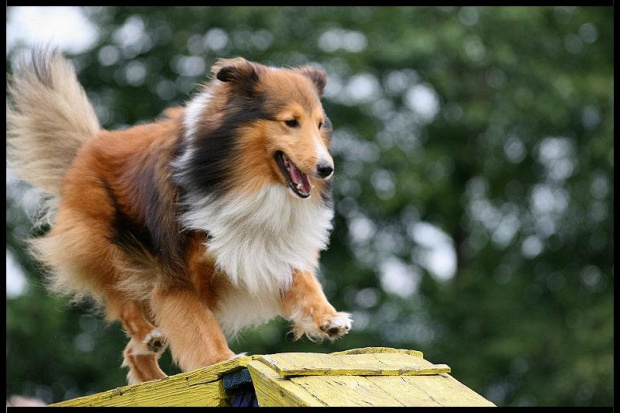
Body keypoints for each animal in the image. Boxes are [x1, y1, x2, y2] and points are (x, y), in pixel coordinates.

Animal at [7, 48, 352, 384]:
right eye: (290, 122)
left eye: (320, 124)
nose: (326, 168)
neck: (242, 181)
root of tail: (89, 146)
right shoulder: (177, 274)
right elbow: (199, 327)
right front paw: (221, 359)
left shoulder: (265, 248)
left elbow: (304, 282)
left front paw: (329, 319)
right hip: (106, 250)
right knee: (122, 300)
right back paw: (149, 336)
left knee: (132, 350)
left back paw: (153, 377)